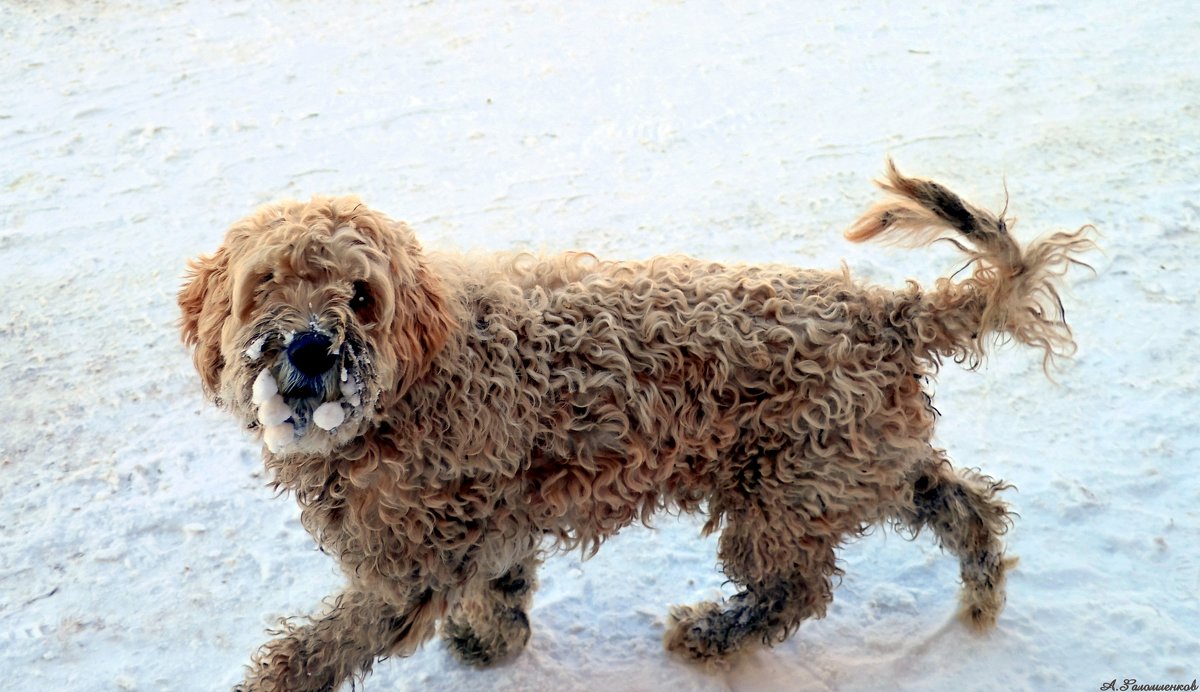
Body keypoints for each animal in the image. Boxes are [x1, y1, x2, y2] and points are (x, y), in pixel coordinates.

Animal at [180, 161, 1099, 686]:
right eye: (266, 283)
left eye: (363, 296)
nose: (310, 346)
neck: (423, 379)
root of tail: (886, 312)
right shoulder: (486, 525)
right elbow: (501, 587)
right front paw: (496, 641)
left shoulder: (412, 562)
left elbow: (323, 646)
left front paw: (273, 680)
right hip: (859, 460)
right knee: (968, 504)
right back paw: (981, 596)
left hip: (783, 491)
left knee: (797, 588)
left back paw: (715, 635)